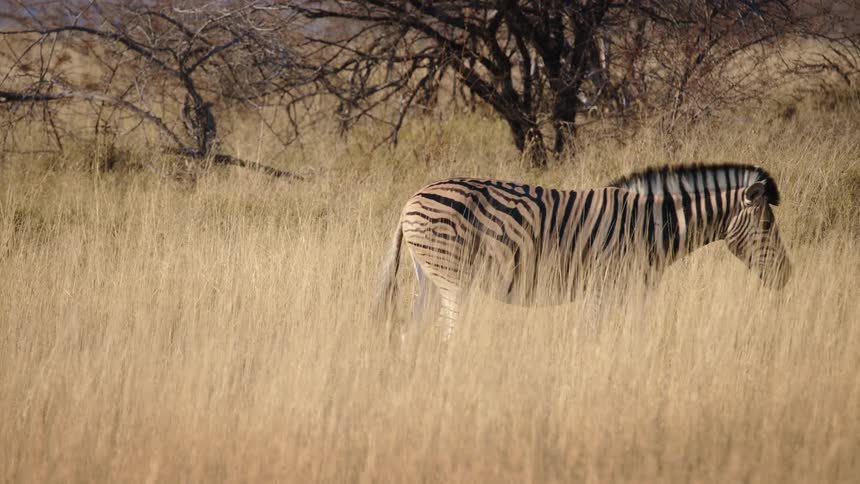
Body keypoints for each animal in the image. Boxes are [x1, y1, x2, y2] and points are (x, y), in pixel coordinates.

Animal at [375, 163, 791, 340]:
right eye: (767, 226)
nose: (788, 274)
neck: (652, 226)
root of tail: (411, 200)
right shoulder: (606, 284)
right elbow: (595, 336)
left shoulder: (631, 290)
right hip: (453, 276)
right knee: (448, 332)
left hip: (429, 277)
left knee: (411, 332)